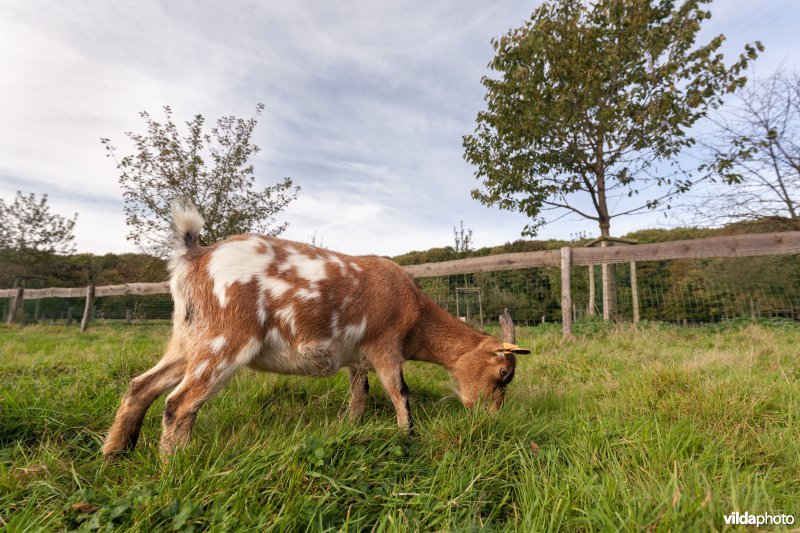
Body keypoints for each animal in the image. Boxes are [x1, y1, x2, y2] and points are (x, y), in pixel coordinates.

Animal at [104, 204, 532, 458]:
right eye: (503, 375)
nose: (491, 419)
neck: (415, 311)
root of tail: (194, 256)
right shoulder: (385, 343)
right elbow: (400, 392)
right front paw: (408, 437)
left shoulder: (358, 357)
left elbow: (359, 395)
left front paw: (351, 427)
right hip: (224, 341)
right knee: (178, 403)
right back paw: (174, 468)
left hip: (188, 339)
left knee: (141, 385)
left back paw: (115, 454)